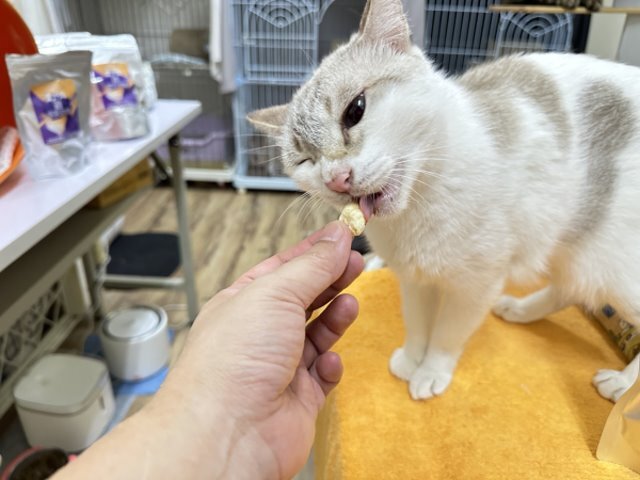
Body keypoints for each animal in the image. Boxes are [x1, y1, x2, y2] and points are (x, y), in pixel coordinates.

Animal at [248, 0, 640, 402]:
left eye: (355, 110)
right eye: (305, 161)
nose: (335, 178)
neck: (418, 208)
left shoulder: (475, 286)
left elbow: (446, 335)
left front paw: (431, 372)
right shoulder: (414, 279)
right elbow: (418, 325)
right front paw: (411, 359)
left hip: (615, 271)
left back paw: (622, 385)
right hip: (577, 258)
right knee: (571, 291)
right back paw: (519, 309)